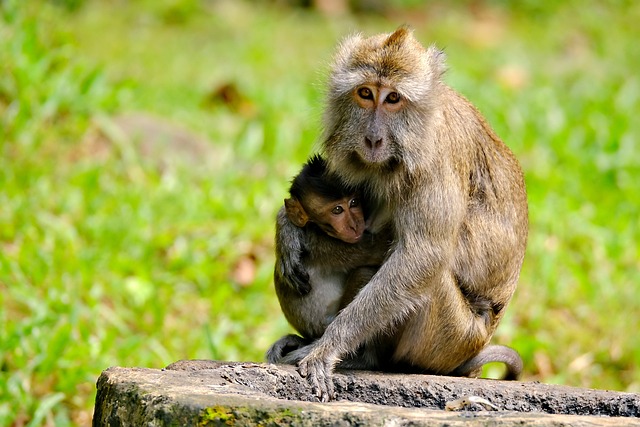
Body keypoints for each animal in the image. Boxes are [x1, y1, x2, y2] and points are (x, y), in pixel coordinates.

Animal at [268, 155, 392, 363]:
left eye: (354, 202)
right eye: (337, 210)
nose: (355, 224)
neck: (316, 228)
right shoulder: (328, 247)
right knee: (365, 273)